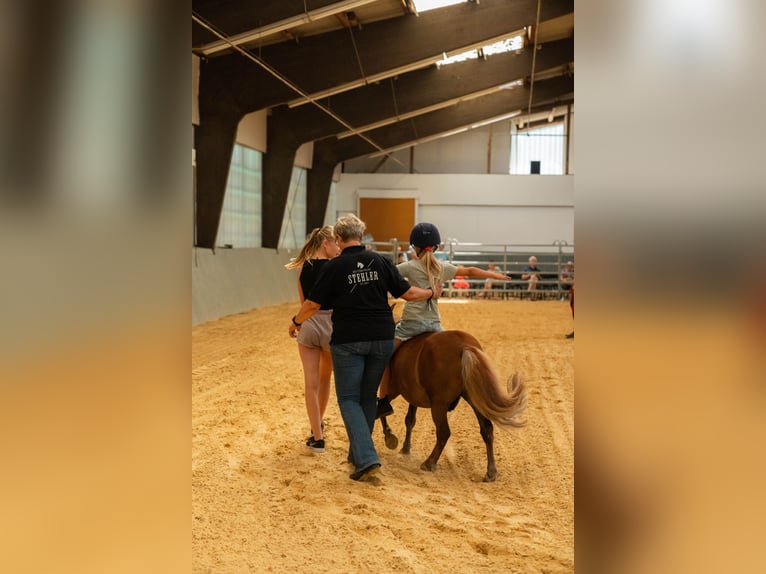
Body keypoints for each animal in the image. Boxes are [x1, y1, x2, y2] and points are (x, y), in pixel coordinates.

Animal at [380, 330, 528, 484]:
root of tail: (465, 346)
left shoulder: (392, 391)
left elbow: (381, 409)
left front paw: (389, 436)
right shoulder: (412, 397)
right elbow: (409, 420)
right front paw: (405, 448)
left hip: (439, 405)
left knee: (444, 432)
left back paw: (429, 463)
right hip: (474, 400)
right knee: (487, 429)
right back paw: (491, 472)